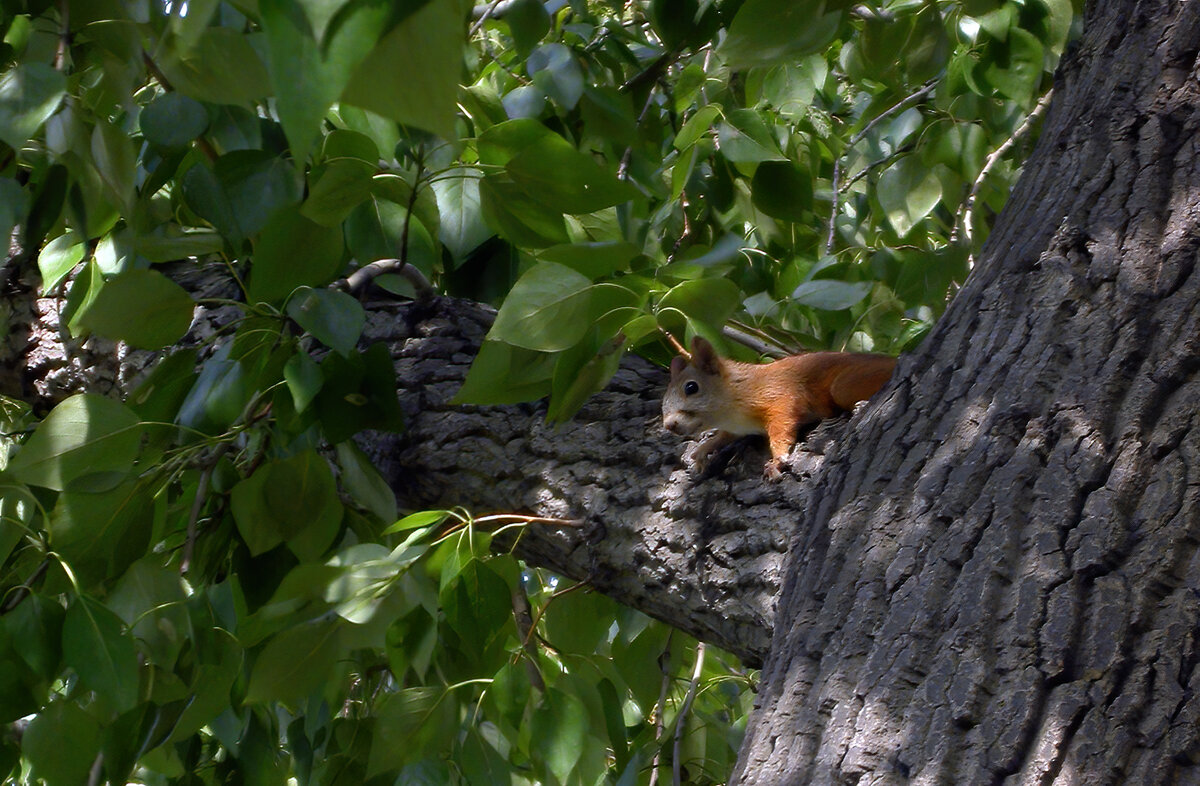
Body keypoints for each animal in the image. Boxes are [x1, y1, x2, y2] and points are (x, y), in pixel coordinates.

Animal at [662, 336, 897, 480]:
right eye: (663, 403)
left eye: (691, 387)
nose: (669, 425)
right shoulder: (737, 427)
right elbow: (724, 437)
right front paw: (703, 450)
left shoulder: (779, 396)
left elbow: (781, 426)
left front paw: (778, 459)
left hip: (845, 385)